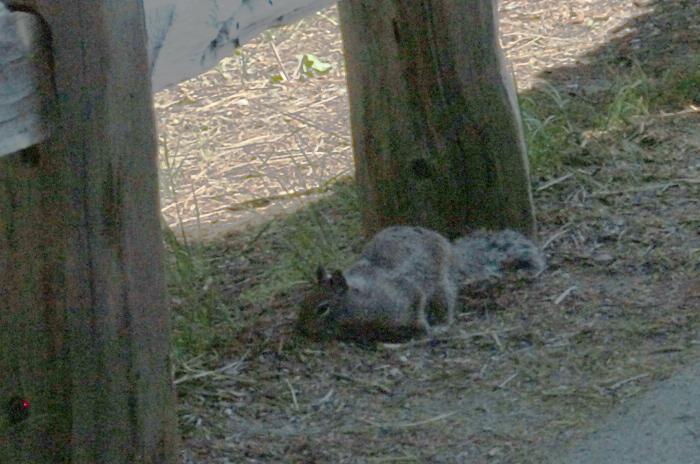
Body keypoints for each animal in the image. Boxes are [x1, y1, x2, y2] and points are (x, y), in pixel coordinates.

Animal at [296, 227, 548, 342]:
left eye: (322, 308)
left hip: (441, 286)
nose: (301, 330)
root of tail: (452, 249)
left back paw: (442, 324)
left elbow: (417, 313)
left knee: (448, 303)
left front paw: (426, 331)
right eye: (303, 302)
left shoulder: (407, 295)